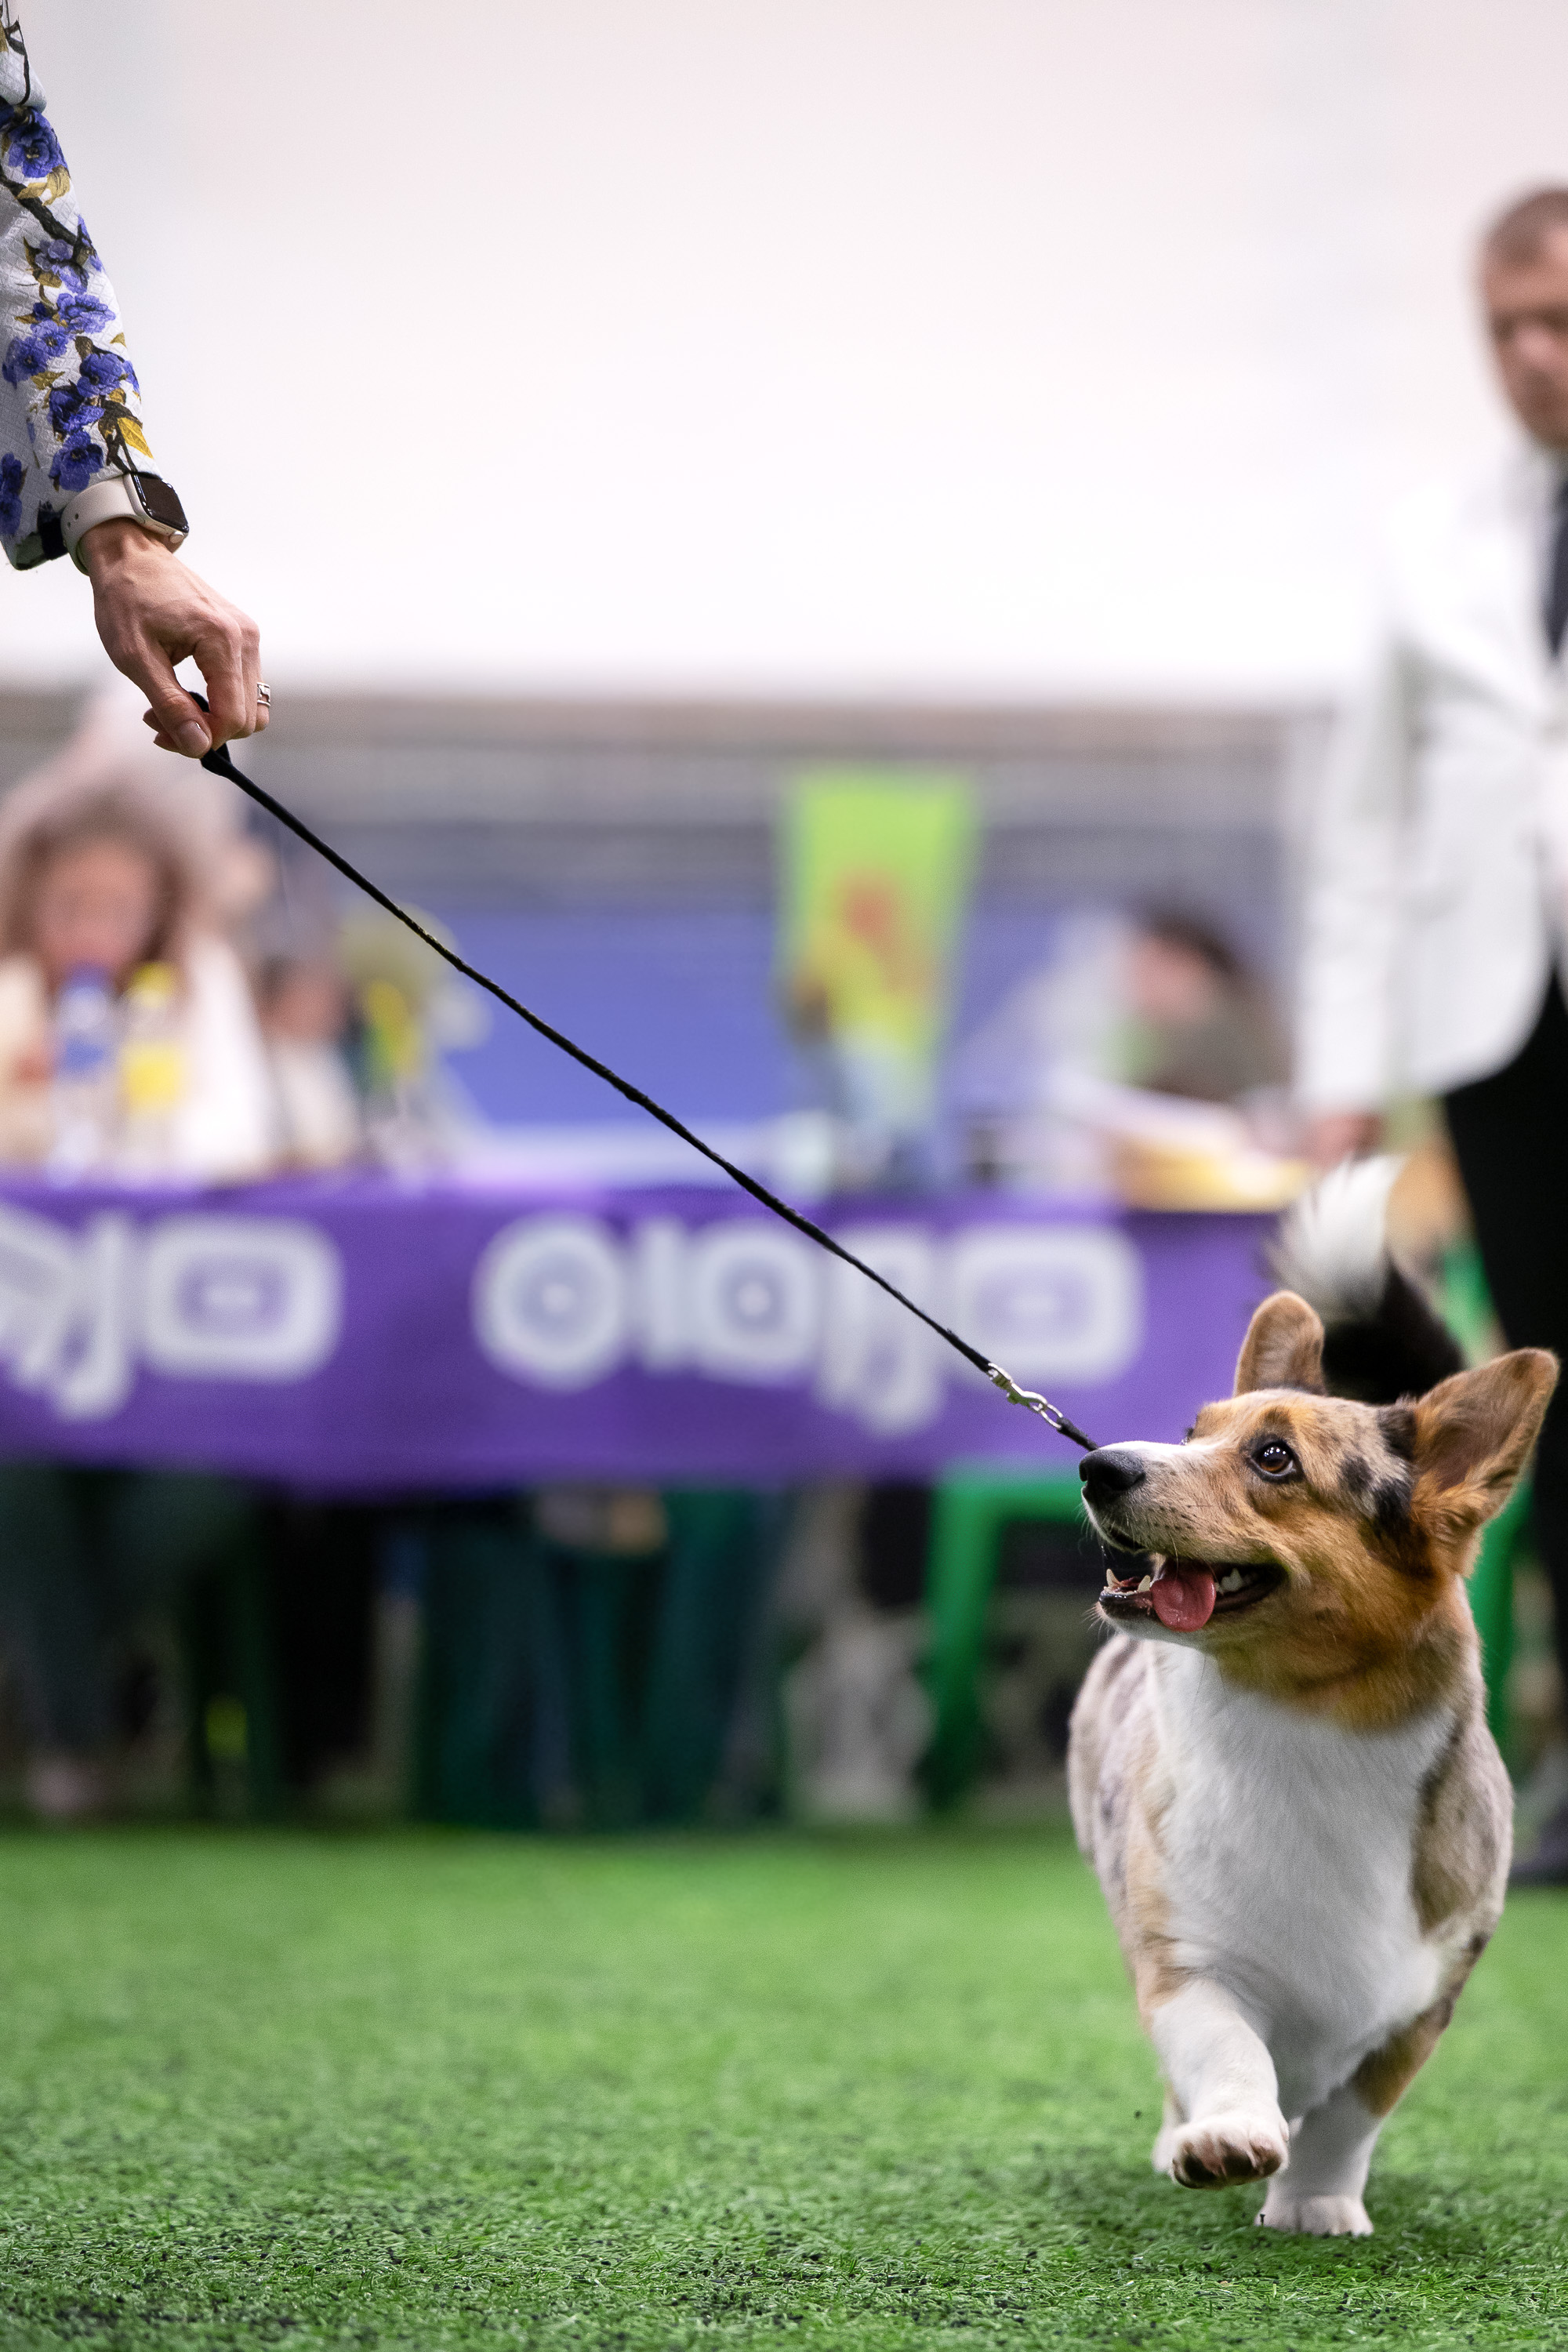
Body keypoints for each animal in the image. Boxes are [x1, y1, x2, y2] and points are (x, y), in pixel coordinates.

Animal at [1067, 1162, 1556, 2236]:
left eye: (1273, 1459)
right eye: (1191, 1434)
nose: (1096, 1464)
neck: (1303, 1721)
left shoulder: (1421, 1997)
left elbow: (1350, 2112)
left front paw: (1315, 2204)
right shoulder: (1185, 1960)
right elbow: (1225, 2051)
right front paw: (1225, 2141)